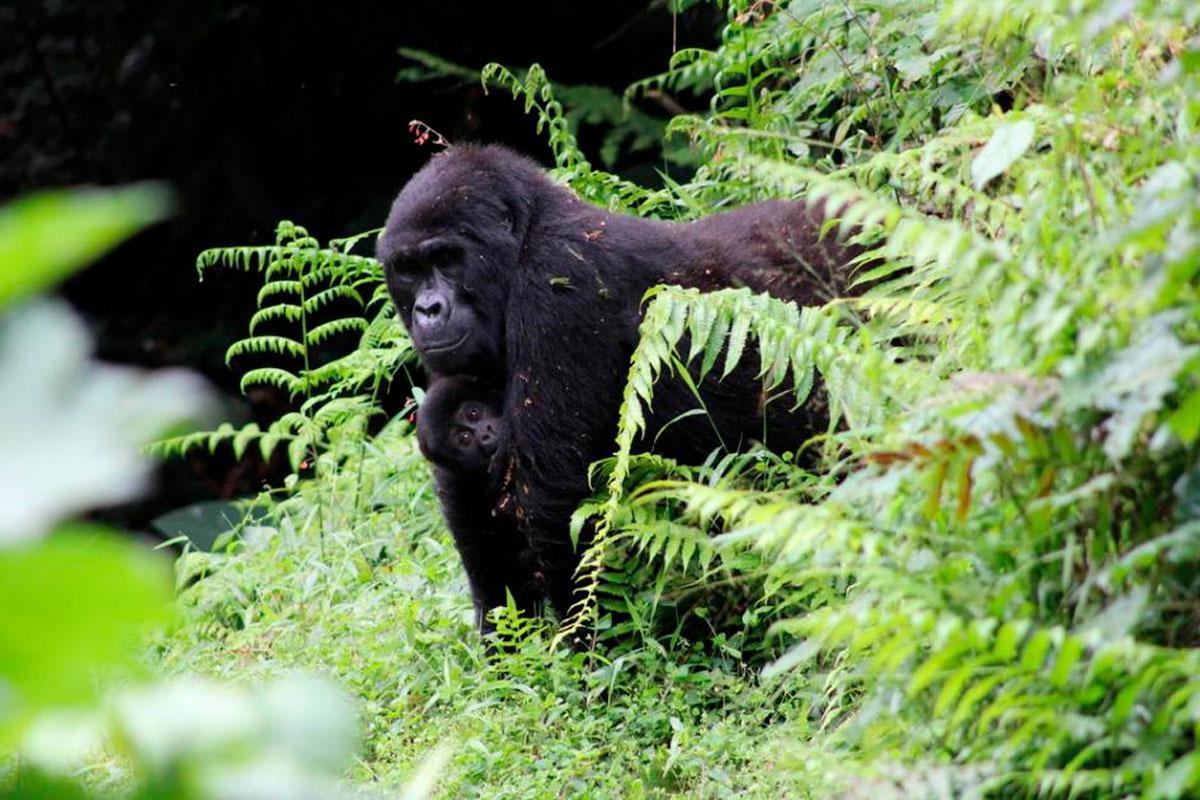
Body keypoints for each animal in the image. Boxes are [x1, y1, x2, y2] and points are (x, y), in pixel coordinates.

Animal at [379, 145, 859, 633]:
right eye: (409, 269)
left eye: (447, 258)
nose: (428, 310)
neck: (527, 237)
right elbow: (476, 511)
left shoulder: (558, 286)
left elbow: (558, 507)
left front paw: (582, 643)